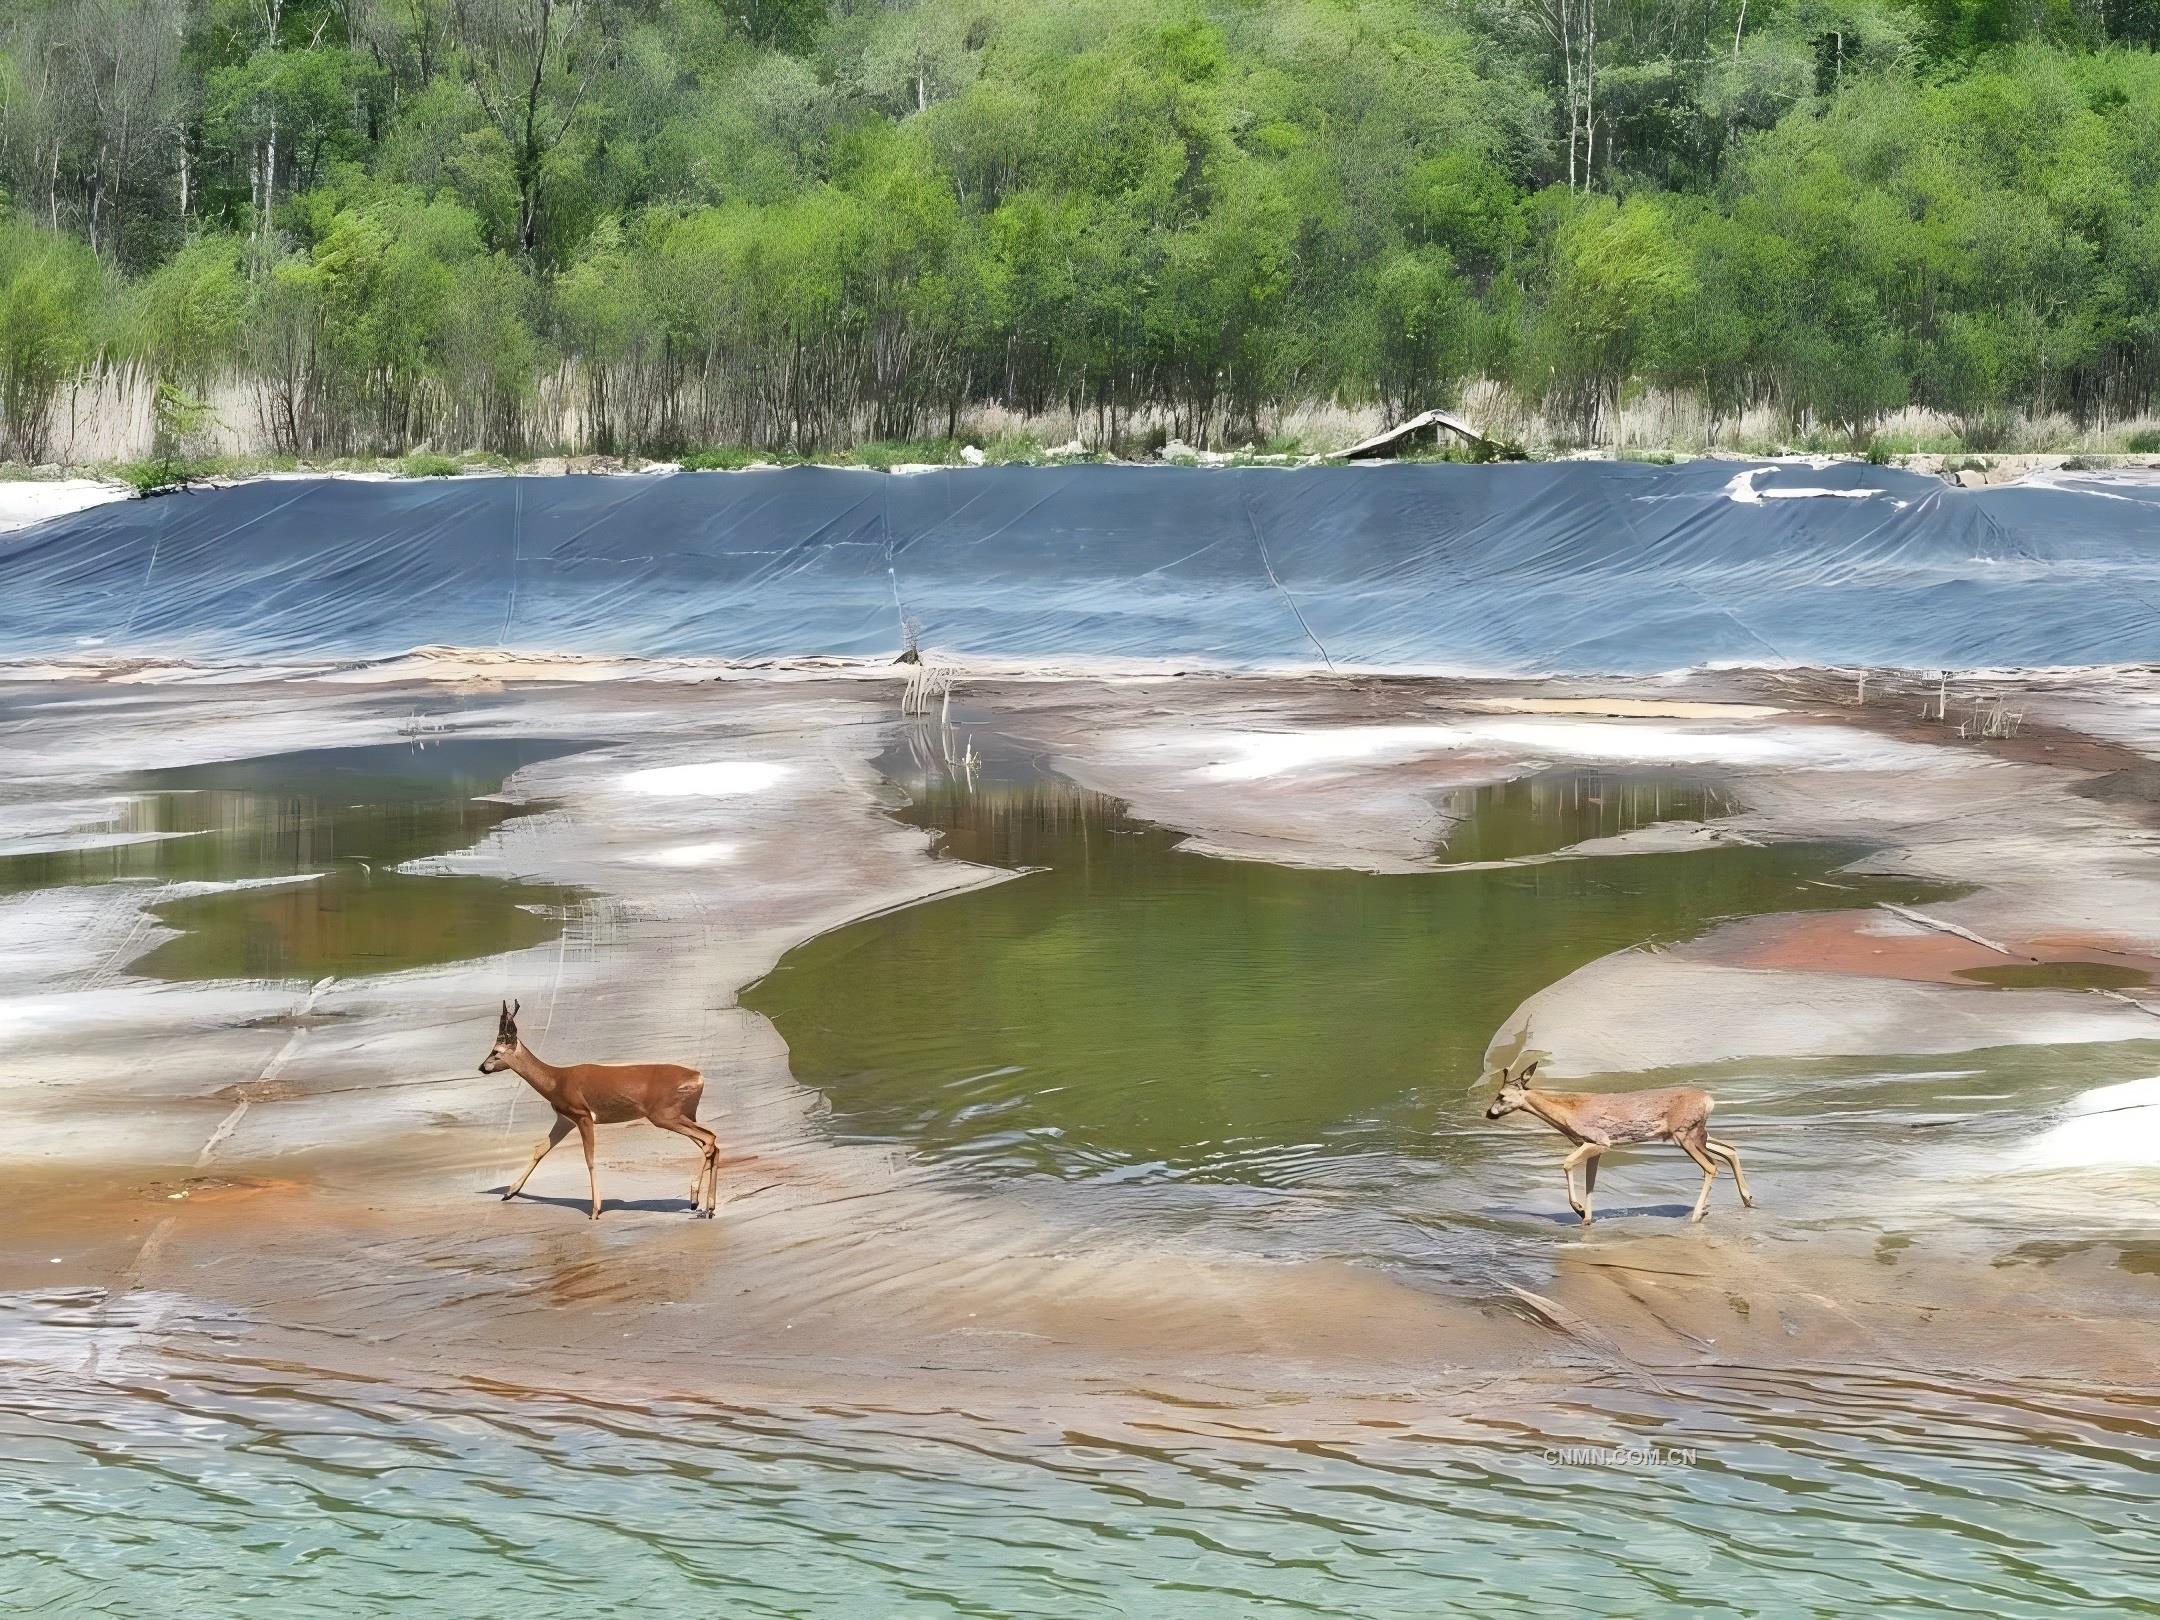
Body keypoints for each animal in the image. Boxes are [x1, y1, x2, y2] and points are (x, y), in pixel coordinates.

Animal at [477, 1002, 721, 1218]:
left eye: (496, 1051)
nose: (482, 1067)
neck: (556, 1080)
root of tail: (698, 1077)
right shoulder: (565, 1119)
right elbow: (540, 1149)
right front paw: (509, 1192)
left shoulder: (583, 1116)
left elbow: (590, 1159)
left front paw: (595, 1210)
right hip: (680, 1116)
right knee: (711, 1143)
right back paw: (708, 1208)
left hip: (664, 1116)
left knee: (709, 1140)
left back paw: (695, 1199)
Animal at [1486, 1045, 1753, 1226]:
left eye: (1501, 1095)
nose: (1489, 1113)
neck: (1568, 1114)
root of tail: (1709, 1100)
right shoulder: (1596, 1146)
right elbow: (1591, 1182)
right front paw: (1586, 1218)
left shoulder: (1599, 1140)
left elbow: (1567, 1163)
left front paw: (1578, 1209)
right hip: (1696, 1133)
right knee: (1729, 1149)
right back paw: (1747, 1198)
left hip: (1684, 1134)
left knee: (1711, 1166)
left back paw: (1698, 1214)